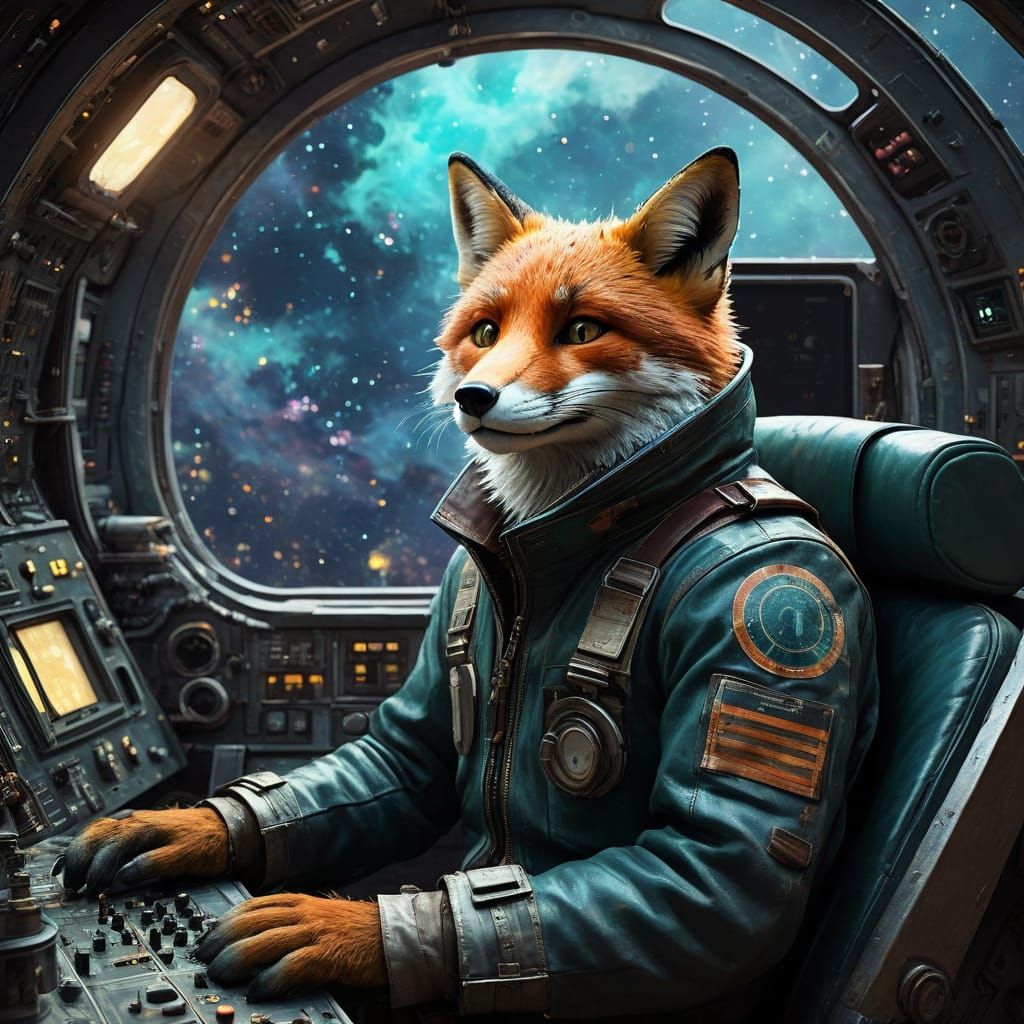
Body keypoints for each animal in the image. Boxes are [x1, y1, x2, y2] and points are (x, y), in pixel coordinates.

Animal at [62, 147, 742, 1000]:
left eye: (584, 329)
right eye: (485, 331)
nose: (473, 396)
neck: (546, 554)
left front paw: (338, 926)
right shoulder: (416, 722)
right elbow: (398, 754)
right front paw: (176, 823)